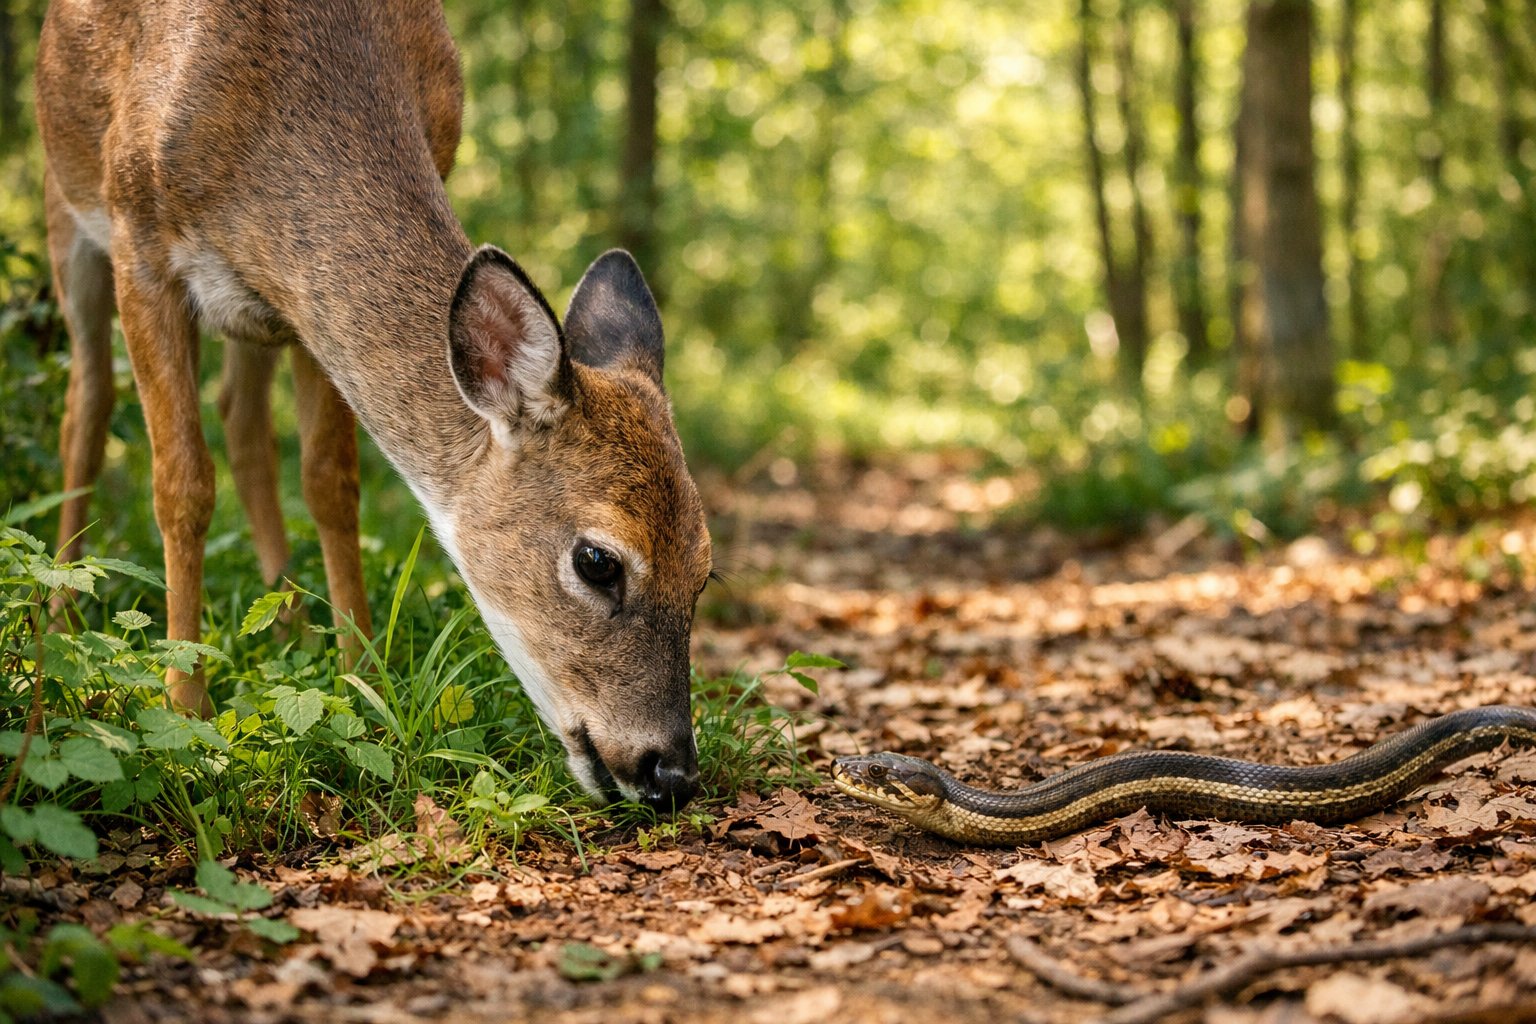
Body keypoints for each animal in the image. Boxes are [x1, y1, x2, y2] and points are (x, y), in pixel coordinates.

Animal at [35, 0, 712, 811]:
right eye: (597, 561)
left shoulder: (307, 300)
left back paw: (293, 630)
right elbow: (183, 486)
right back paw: (61, 615)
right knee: (87, 403)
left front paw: (360, 681)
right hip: (69, 212)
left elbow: (332, 482)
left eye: (705, 573)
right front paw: (185, 712)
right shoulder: (139, 238)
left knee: (243, 420)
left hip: (259, 320)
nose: (671, 771)